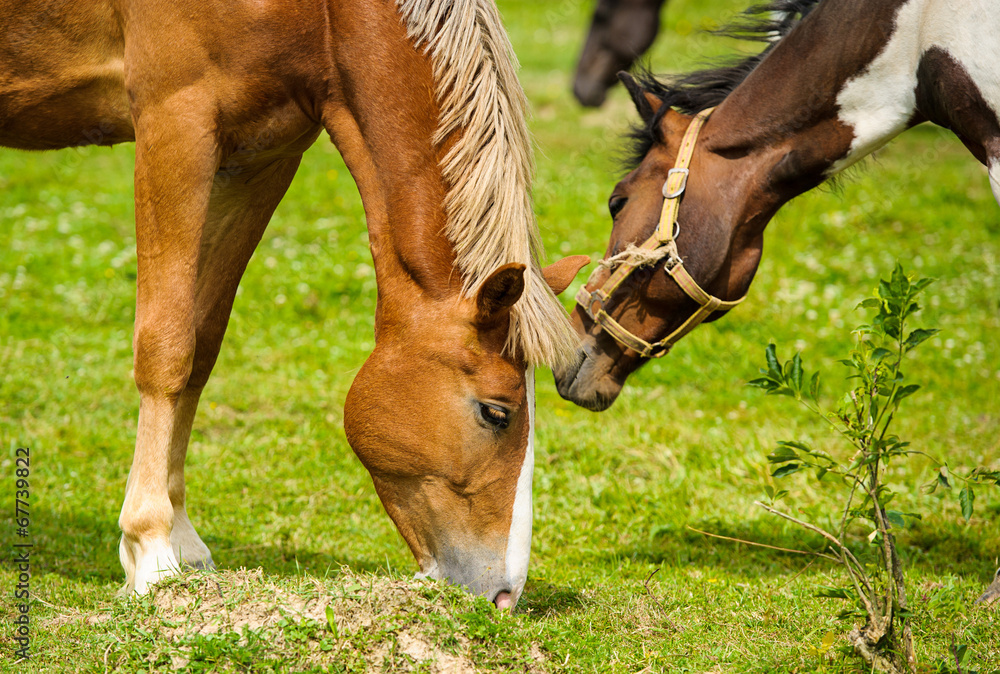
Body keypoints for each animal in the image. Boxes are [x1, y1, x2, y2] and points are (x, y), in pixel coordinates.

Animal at [1, 0, 590, 609]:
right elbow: (167, 346)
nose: (505, 596)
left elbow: (201, 345)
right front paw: (153, 550)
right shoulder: (175, 120)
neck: (325, 19)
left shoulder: (261, 156)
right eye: (497, 412)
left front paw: (184, 542)